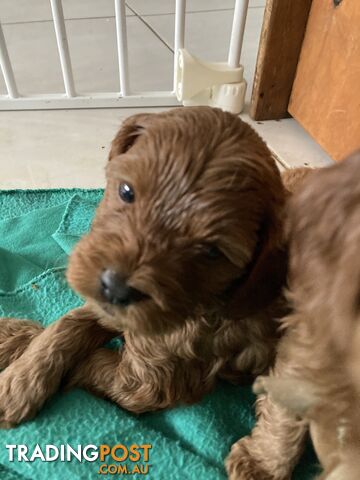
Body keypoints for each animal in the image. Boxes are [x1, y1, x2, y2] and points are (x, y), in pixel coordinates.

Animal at [0, 107, 292, 430]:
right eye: (126, 191)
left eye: (212, 252)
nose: (115, 288)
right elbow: (66, 324)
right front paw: (16, 363)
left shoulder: (146, 382)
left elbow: (89, 361)